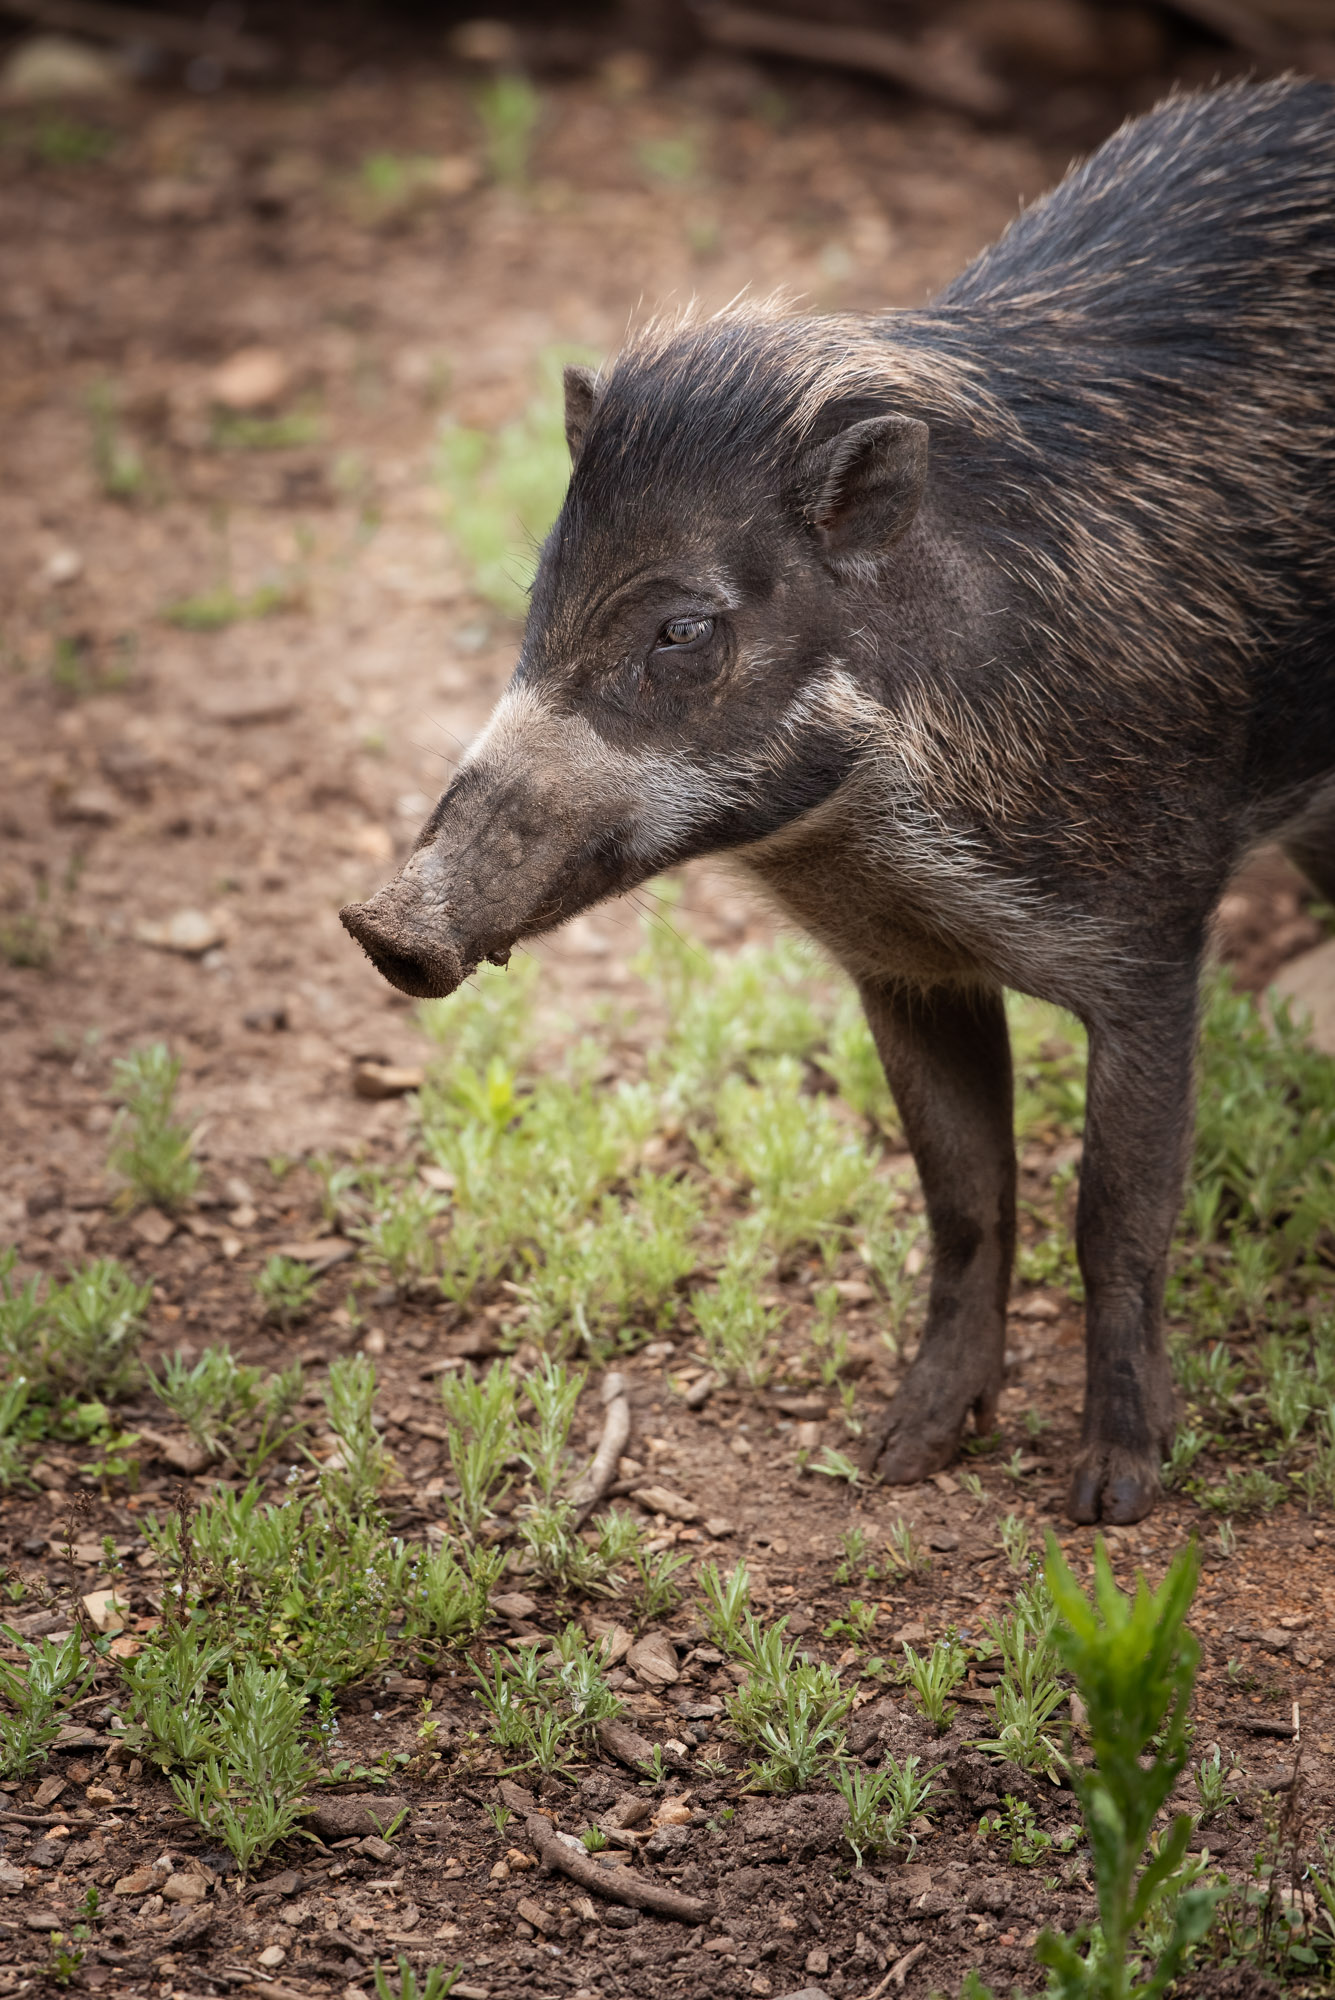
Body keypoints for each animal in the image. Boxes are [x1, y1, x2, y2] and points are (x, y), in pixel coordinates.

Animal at [342, 79, 1335, 1523]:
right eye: (541, 591)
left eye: (680, 629)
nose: (383, 925)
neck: (874, 840)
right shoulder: (902, 969)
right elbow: (964, 1196)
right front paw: (897, 1455)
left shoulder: (1153, 938)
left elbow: (1116, 1211)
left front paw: (1107, 1497)